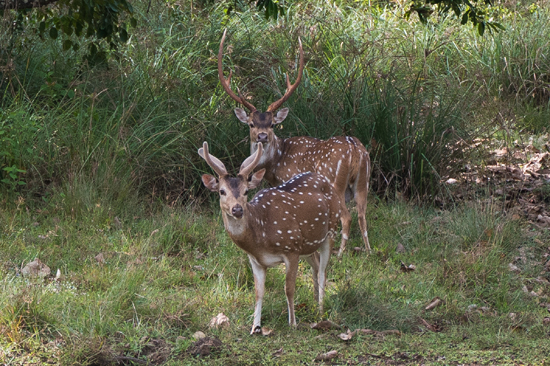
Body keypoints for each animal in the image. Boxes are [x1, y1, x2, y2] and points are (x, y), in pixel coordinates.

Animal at [201, 141, 342, 334]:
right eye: (222, 191)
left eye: (246, 191)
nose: (237, 209)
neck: (261, 236)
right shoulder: (256, 260)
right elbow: (258, 292)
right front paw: (255, 327)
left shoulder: (291, 248)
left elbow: (289, 288)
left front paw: (293, 323)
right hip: (307, 244)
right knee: (316, 264)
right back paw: (313, 303)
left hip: (331, 229)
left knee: (323, 271)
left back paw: (320, 311)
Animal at [218, 30, 374, 256]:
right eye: (251, 124)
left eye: (272, 124)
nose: (262, 136)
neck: (275, 164)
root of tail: (355, 150)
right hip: (363, 181)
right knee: (362, 216)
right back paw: (368, 251)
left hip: (336, 183)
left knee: (347, 217)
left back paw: (339, 254)